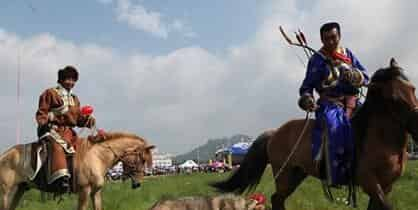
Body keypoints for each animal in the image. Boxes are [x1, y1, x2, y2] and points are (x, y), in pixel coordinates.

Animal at [0, 131, 155, 210]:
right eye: (142, 160)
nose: (137, 184)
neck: (97, 155)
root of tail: (3, 156)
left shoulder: (95, 192)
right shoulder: (84, 191)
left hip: (19, 190)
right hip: (6, 193)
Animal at [212, 57, 418, 210]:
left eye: (412, 88)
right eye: (393, 99)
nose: (416, 125)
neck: (379, 138)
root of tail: (275, 132)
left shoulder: (386, 185)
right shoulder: (370, 182)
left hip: (297, 174)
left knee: (277, 199)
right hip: (284, 174)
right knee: (277, 199)